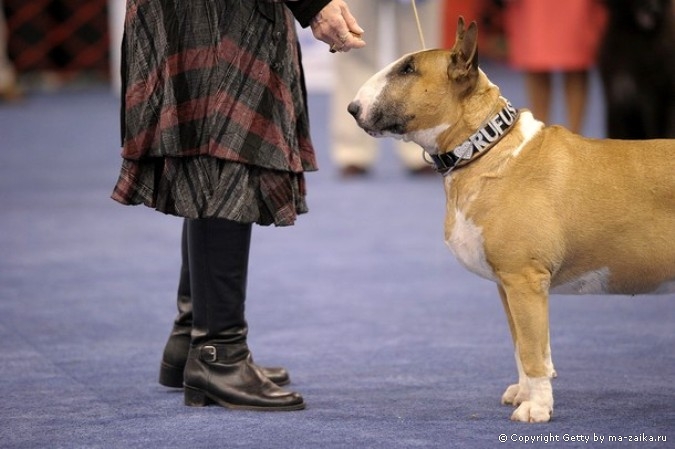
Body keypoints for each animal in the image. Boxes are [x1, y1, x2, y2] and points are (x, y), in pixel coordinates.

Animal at [348, 17, 675, 422]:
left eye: (408, 69)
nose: (352, 108)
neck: (484, 148)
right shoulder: (507, 284)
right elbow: (523, 345)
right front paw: (524, 394)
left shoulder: (525, 279)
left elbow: (533, 351)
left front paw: (536, 409)